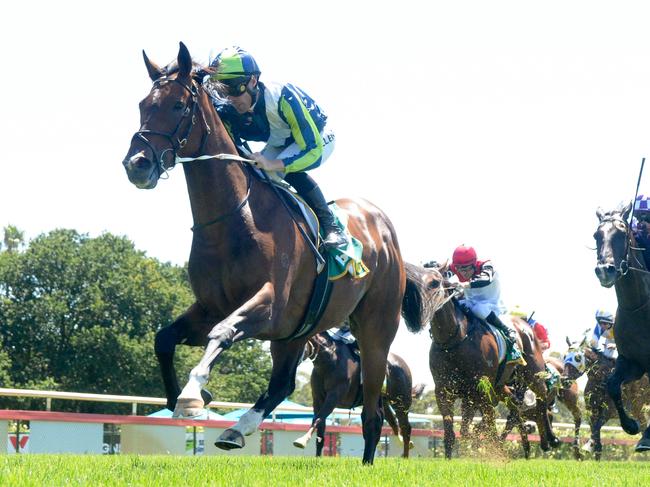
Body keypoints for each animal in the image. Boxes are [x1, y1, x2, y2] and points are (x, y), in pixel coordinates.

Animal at [292, 330, 422, 460]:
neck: (330, 360)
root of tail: (403, 364)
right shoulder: (318, 399)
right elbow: (320, 426)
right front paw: (317, 456)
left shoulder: (334, 396)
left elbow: (319, 418)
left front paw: (302, 441)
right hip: (384, 402)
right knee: (393, 423)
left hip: (401, 401)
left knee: (406, 427)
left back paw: (405, 456)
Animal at [400, 264, 556, 458]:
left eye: (435, 282)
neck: (453, 340)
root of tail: (525, 325)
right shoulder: (445, 390)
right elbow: (454, 432)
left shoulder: (481, 388)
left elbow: (487, 427)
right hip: (501, 385)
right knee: (515, 406)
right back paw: (527, 445)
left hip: (533, 373)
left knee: (543, 399)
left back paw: (549, 438)